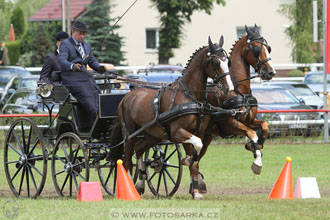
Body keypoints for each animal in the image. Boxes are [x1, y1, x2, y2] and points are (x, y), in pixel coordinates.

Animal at [114, 35, 233, 199]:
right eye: (216, 62)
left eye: (228, 62)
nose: (229, 88)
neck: (190, 96)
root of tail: (127, 97)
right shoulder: (178, 132)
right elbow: (197, 146)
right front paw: (186, 160)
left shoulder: (198, 132)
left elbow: (196, 159)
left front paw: (196, 191)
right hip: (131, 134)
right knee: (127, 159)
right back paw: (130, 188)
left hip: (153, 135)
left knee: (138, 150)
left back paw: (140, 184)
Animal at [180, 24, 276, 192]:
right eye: (256, 48)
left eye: (268, 47)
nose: (270, 72)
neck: (238, 91)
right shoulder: (230, 124)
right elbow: (252, 133)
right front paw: (257, 162)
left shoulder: (249, 120)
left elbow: (264, 126)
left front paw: (255, 146)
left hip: (206, 136)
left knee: (196, 157)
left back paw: (197, 183)